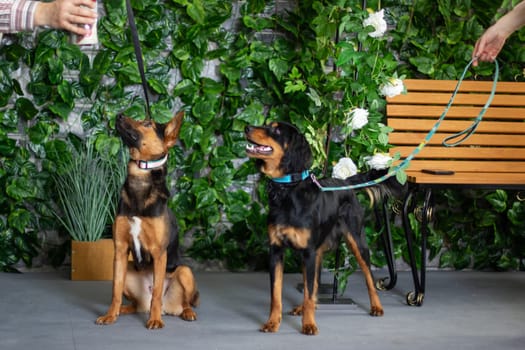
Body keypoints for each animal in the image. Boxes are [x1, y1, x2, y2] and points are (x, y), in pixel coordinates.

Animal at [96, 111, 199, 328]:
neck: (140, 178)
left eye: (147, 124)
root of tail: (170, 308)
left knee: (181, 300)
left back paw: (185, 312)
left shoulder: (159, 253)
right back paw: (124, 310)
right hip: (128, 270)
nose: (119, 114)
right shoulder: (120, 250)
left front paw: (155, 320)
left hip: (185, 271)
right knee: (136, 303)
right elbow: (115, 291)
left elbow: (158, 292)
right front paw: (110, 315)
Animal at [246, 121, 398, 334]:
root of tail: (345, 183)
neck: (288, 190)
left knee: (368, 276)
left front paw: (309, 324)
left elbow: (308, 291)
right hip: (318, 252)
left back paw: (376, 306)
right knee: (314, 284)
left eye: (276, 130)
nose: (246, 128)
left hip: (356, 240)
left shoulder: (308, 251)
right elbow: (277, 294)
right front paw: (272, 322)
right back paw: (302, 308)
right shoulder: (276, 251)